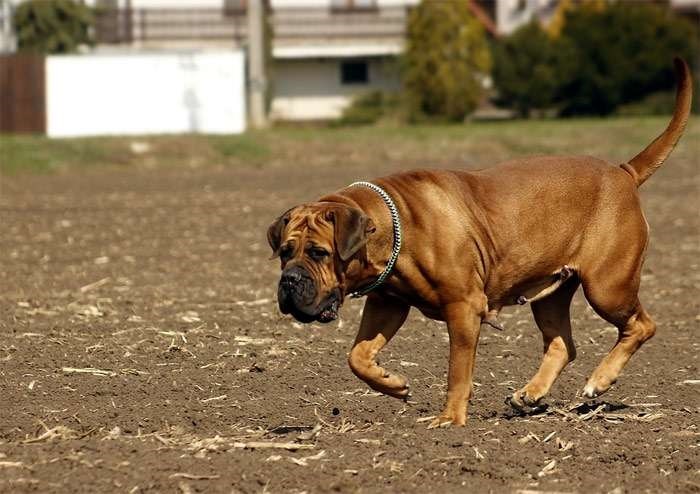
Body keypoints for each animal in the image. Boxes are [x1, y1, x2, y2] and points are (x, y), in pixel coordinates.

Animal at [270, 59, 696, 426]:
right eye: (285, 252)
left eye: (319, 253)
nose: (289, 281)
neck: (394, 227)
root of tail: (624, 173)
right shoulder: (387, 303)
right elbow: (356, 355)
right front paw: (393, 384)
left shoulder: (463, 308)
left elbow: (457, 371)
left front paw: (449, 419)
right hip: (552, 293)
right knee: (562, 344)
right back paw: (529, 393)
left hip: (608, 286)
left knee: (641, 325)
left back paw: (599, 380)